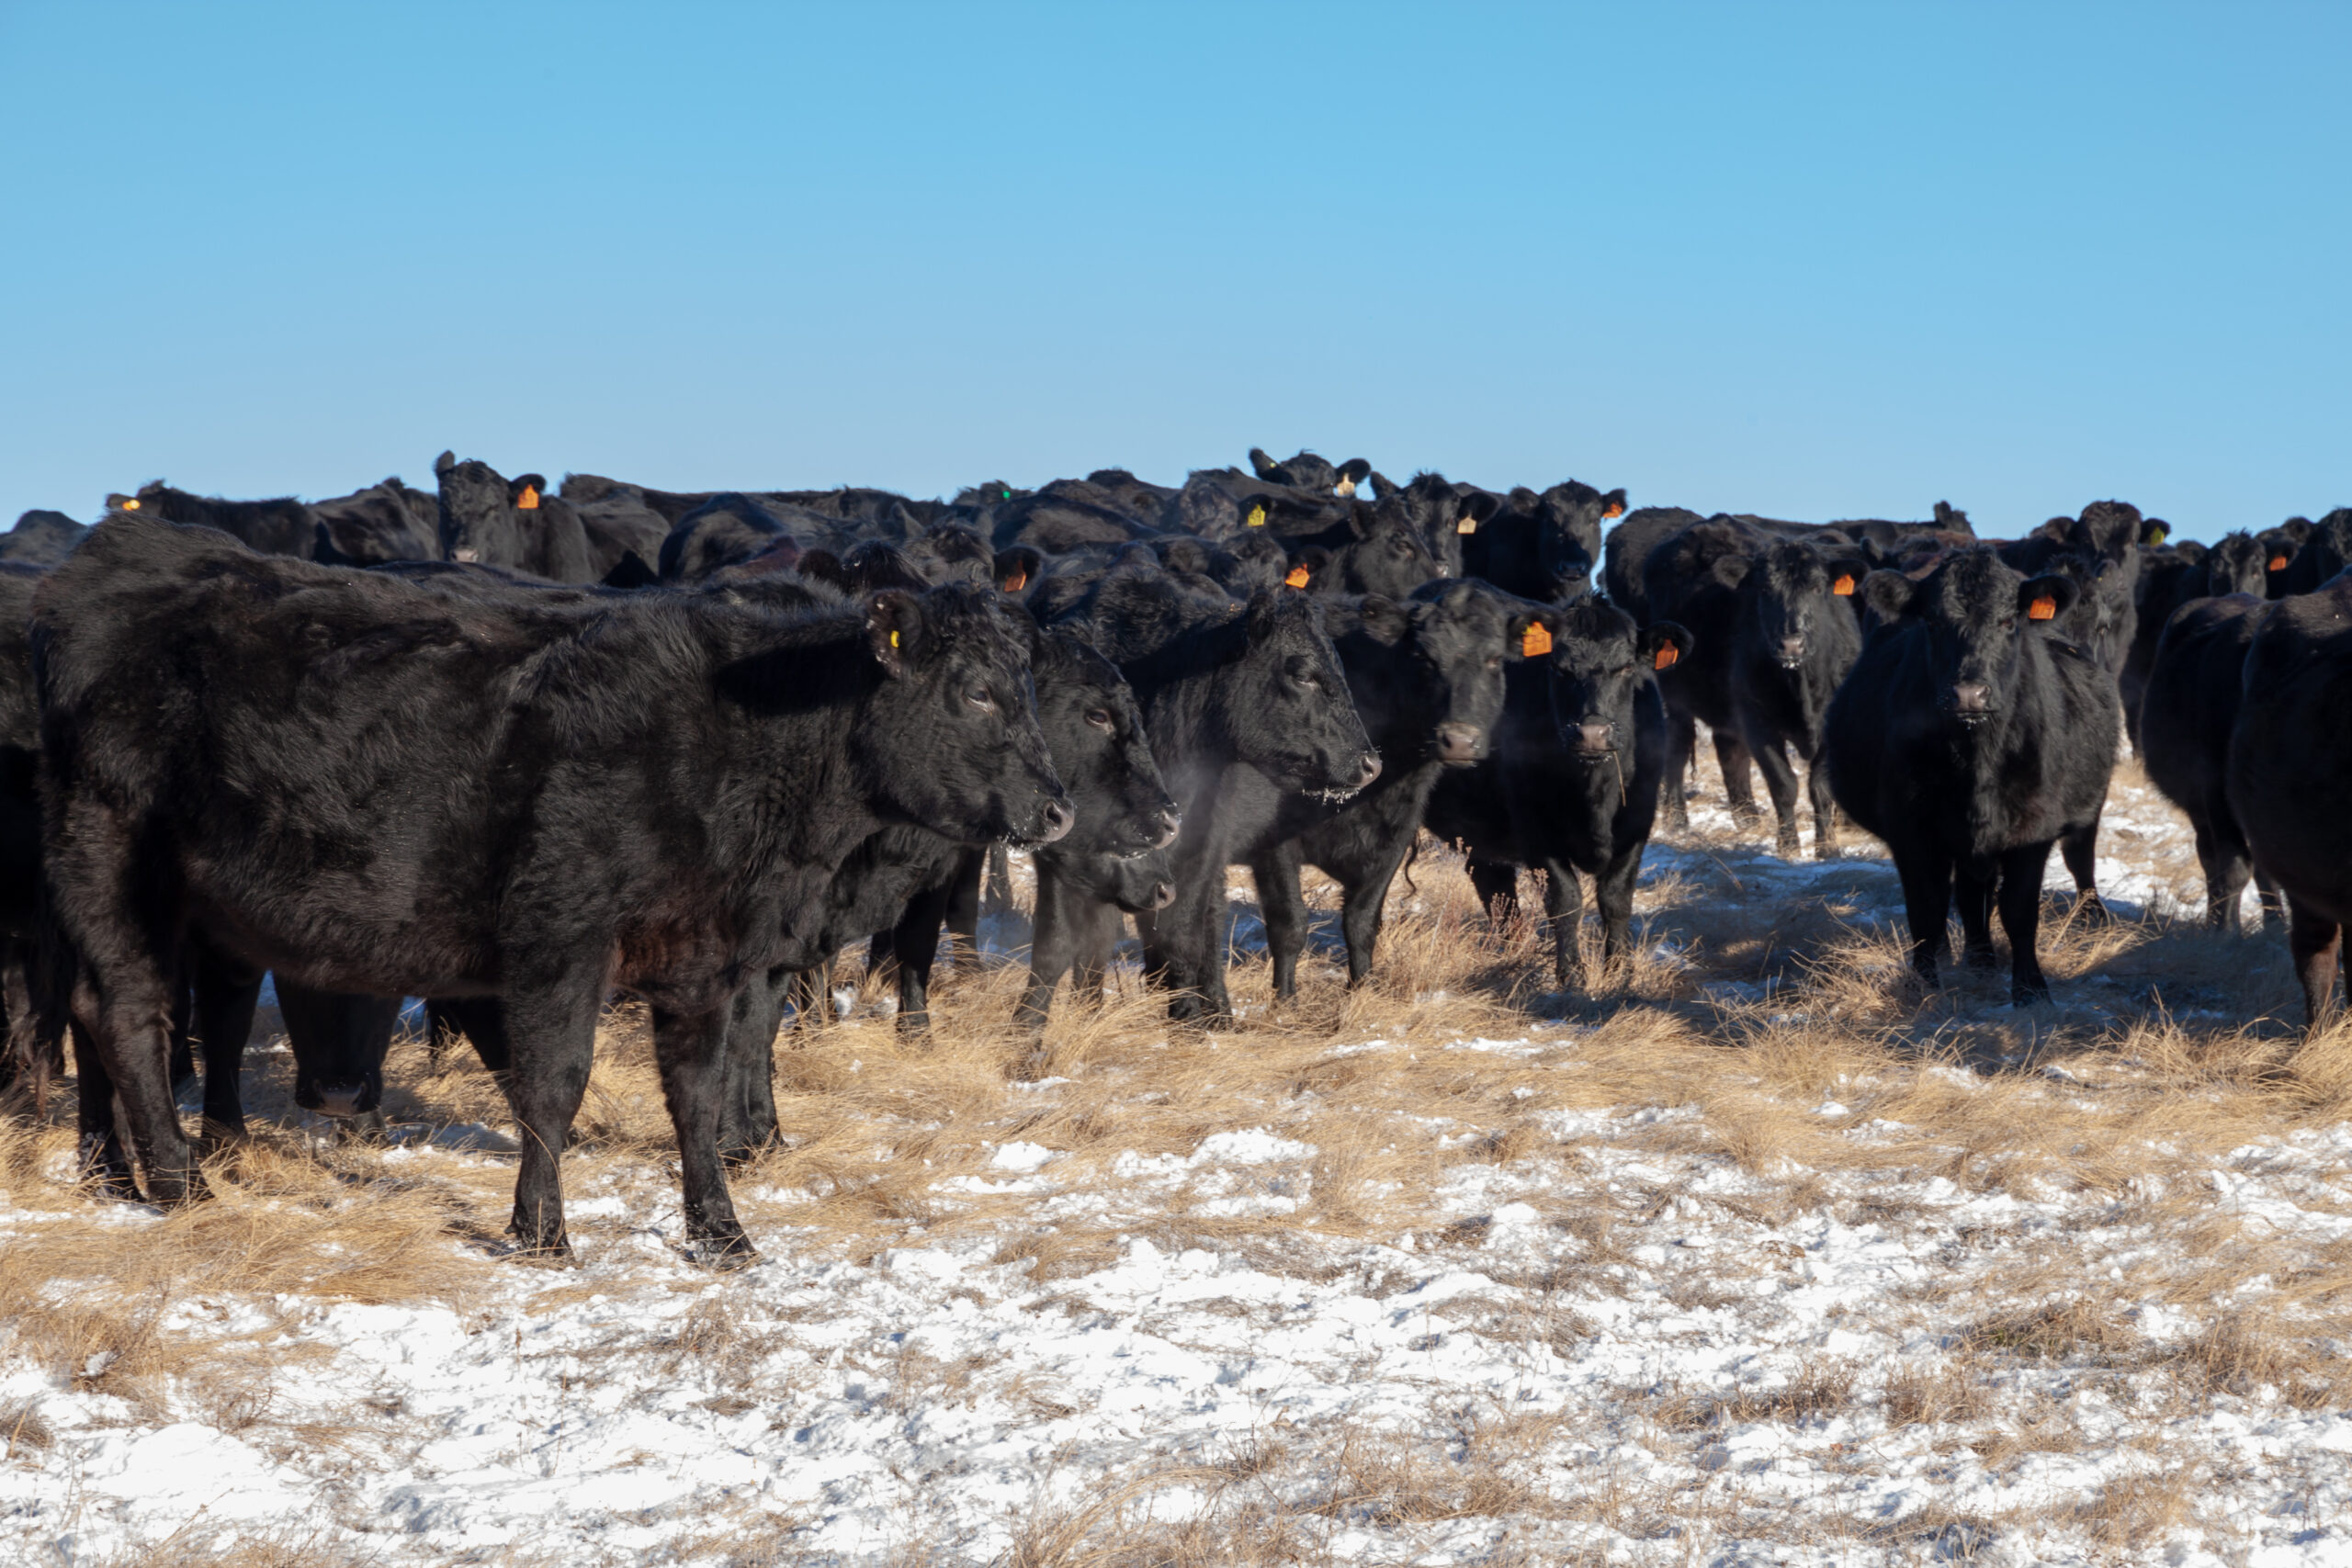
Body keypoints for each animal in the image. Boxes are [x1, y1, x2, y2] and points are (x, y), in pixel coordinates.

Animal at [39, 517, 1068, 1259]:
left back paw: (114, 1176)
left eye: (1028, 683)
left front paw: (720, 1230)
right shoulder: (560, 934)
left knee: (95, 1007)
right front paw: (540, 1231)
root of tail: (121, 552)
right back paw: (179, 1182)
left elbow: (695, 1088)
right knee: (128, 1011)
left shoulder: (702, 948)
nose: (1057, 807)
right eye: (976, 691)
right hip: (111, 850)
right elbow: (552, 1082)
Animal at [1053, 570, 1374, 1024]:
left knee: (1210, 919)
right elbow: (1091, 941)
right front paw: (1090, 1016)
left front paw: (1187, 1015)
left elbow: (1183, 933)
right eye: (1303, 675)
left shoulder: (1202, 840)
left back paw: (1216, 1009)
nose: (1370, 763)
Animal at [1411, 606, 1693, 991]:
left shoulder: (1637, 821)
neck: (1595, 795)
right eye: (1559, 669)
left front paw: (1620, 974)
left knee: (1496, 890)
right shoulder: (1537, 830)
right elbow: (1566, 900)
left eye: (1626, 667)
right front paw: (1572, 976)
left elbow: (1616, 899)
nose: (1592, 733)